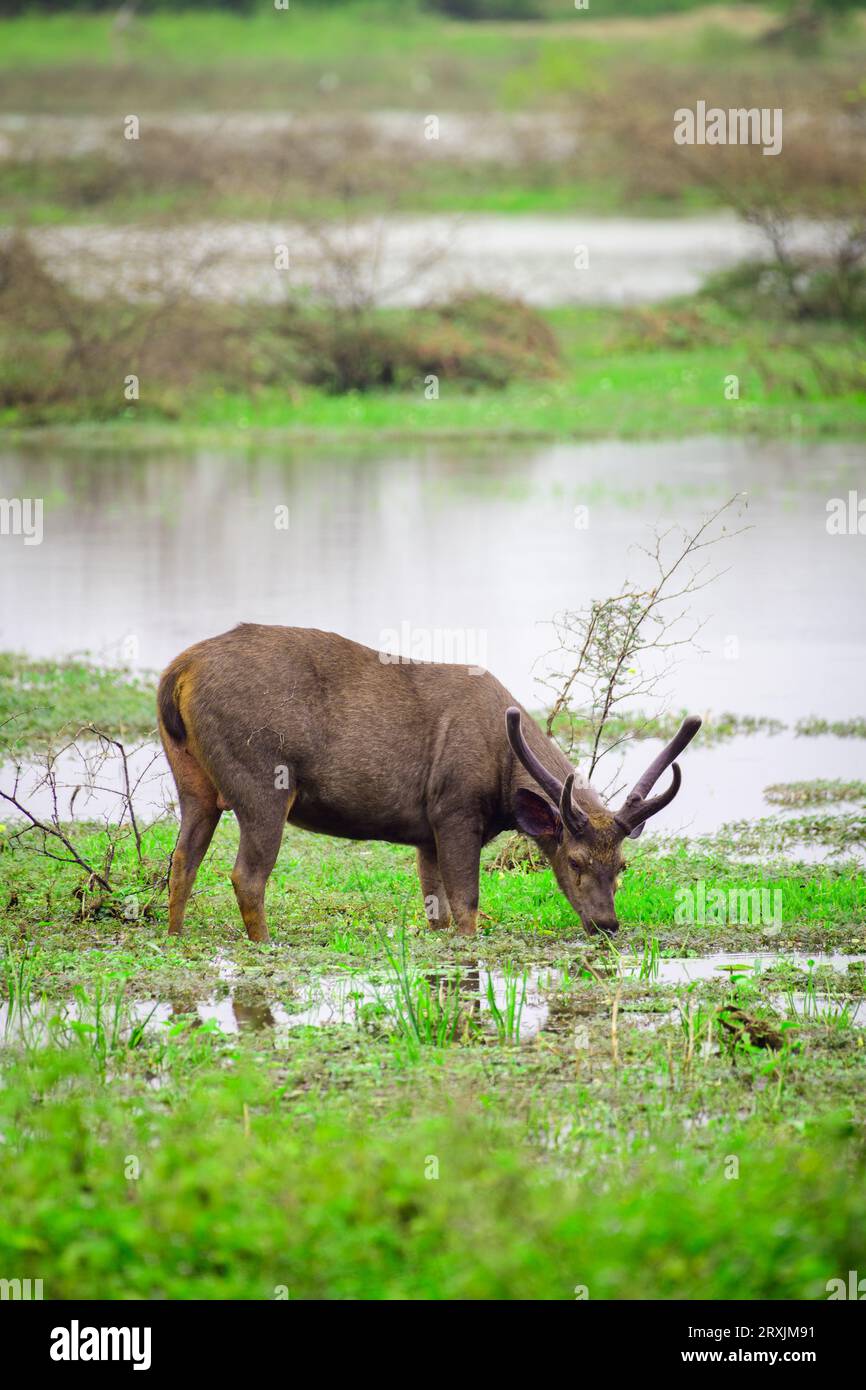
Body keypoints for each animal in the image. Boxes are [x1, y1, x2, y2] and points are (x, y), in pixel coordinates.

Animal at [159, 628, 700, 945]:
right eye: (575, 860)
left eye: (623, 864)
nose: (607, 924)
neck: (503, 782)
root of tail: (176, 672)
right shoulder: (455, 810)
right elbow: (466, 906)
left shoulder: (425, 831)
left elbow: (435, 909)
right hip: (262, 779)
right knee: (246, 874)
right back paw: (264, 942)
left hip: (193, 780)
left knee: (182, 860)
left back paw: (176, 936)